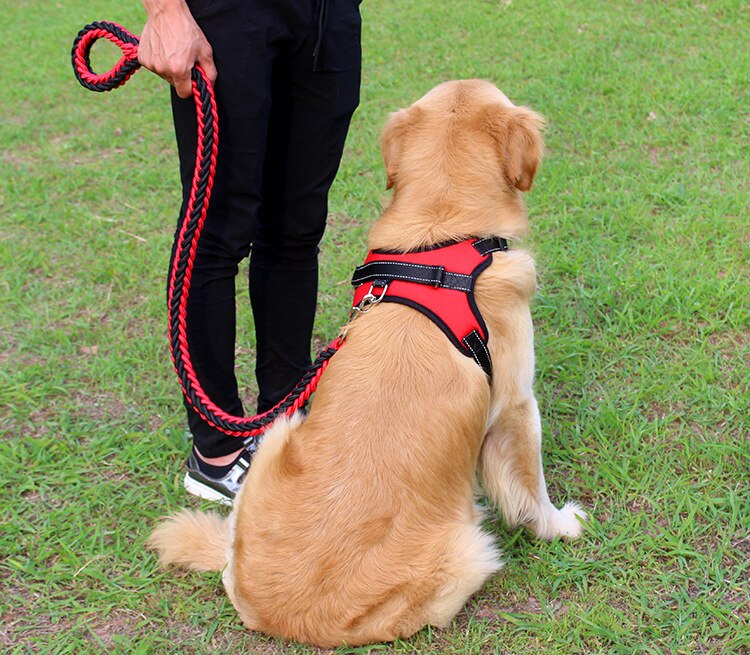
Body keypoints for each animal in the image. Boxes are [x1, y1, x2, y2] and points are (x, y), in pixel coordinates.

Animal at [150, 79, 592, 648]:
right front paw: (559, 525)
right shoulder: (516, 405)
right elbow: (530, 488)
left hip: (279, 433)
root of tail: (285, 617)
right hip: (468, 550)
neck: (440, 241)